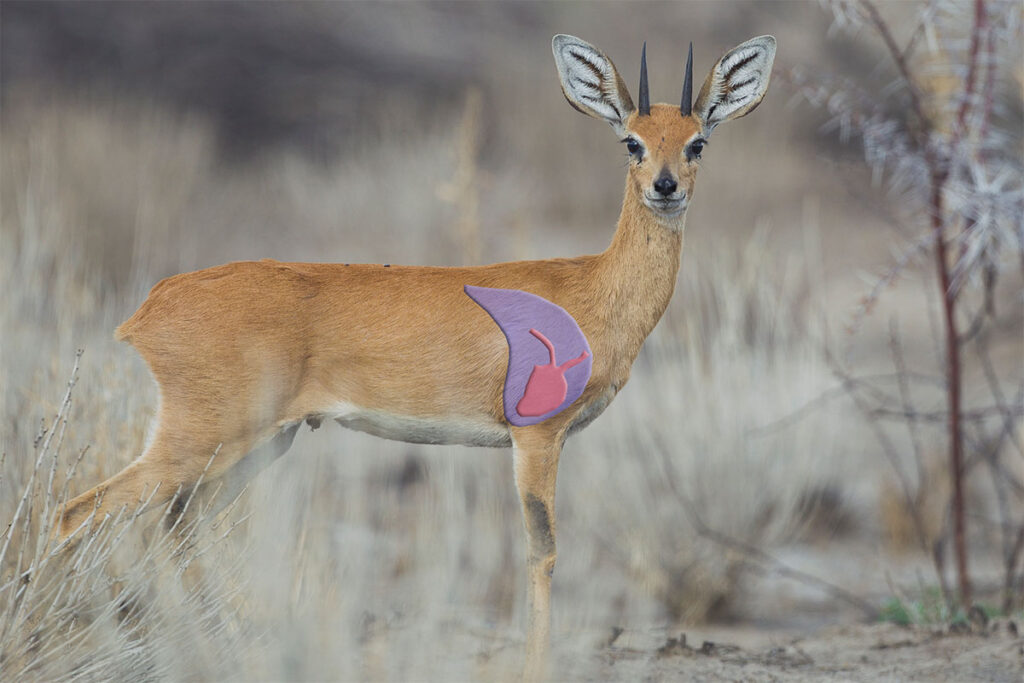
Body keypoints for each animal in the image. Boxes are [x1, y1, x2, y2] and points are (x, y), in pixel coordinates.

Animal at [56, 33, 775, 679]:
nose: (665, 186)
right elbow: (541, 549)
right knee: (80, 513)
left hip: (255, 444)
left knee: (176, 530)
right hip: (202, 439)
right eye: (632, 140)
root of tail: (152, 303)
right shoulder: (537, 436)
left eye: (697, 141)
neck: (592, 290)